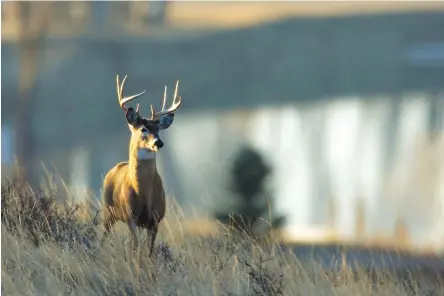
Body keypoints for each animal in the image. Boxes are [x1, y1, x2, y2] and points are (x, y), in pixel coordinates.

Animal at [101, 73, 182, 256]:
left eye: (158, 129)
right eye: (143, 129)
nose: (159, 143)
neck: (143, 192)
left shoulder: (155, 219)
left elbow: (149, 250)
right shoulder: (131, 216)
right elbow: (137, 247)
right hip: (107, 210)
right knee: (102, 236)